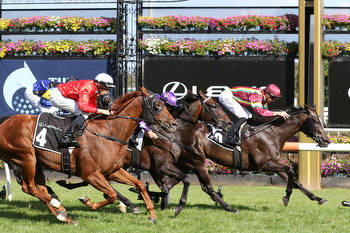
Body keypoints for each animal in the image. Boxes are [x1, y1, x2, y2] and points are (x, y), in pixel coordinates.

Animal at [0, 87, 178, 224]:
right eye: (157, 105)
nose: (174, 124)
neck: (109, 133)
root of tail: (4, 123)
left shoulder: (113, 171)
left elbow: (139, 185)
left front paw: (152, 215)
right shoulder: (91, 174)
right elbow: (112, 195)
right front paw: (87, 201)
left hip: (36, 163)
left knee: (40, 189)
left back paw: (63, 215)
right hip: (27, 158)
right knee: (29, 188)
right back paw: (58, 205)